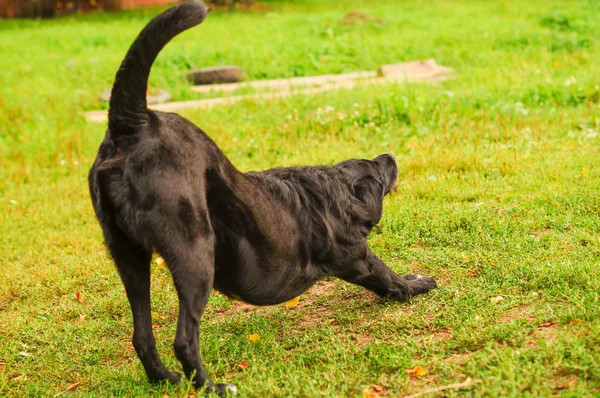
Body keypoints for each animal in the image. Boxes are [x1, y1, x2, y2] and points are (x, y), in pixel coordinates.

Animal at [88, 1, 436, 394]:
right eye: (376, 169)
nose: (389, 155)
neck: (333, 190)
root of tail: (134, 125)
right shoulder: (358, 257)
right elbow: (390, 277)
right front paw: (418, 283)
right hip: (195, 254)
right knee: (184, 339)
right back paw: (213, 387)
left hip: (130, 258)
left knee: (142, 336)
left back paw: (165, 379)